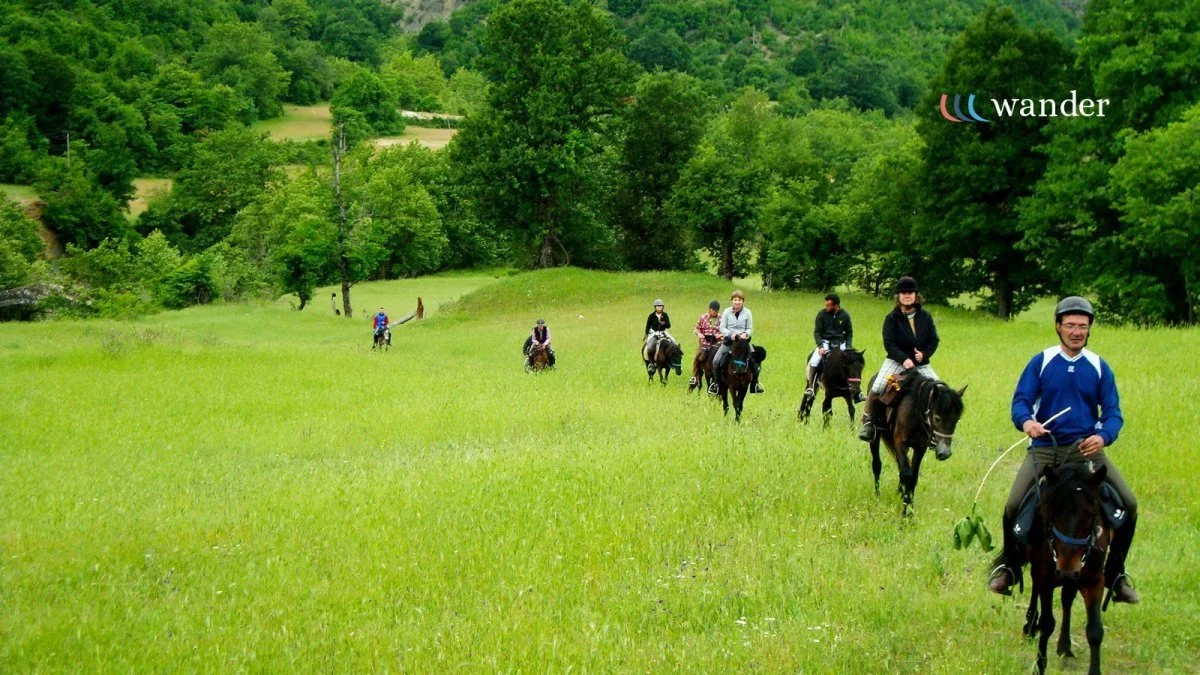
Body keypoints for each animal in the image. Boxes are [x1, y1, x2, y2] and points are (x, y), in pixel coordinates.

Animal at [867, 372, 965, 514]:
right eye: (937, 418)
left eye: (957, 419)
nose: (945, 453)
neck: (915, 411)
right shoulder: (901, 444)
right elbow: (907, 474)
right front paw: (905, 511)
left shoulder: (920, 448)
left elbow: (913, 476)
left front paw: (910, 509)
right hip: (875, 437)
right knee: (877, 465)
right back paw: (878, 496)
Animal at [1018, 463, 1111, 675]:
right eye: (1053, 511)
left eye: (1091, 514)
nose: (1067, 570)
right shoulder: (1045, 578)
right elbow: (1047, 623)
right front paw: (1039, 667)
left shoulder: (1094, 580)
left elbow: (1095, 630)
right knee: (1036, 588)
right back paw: (1030, 627)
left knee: (1067, 599)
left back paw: (1065, 647)